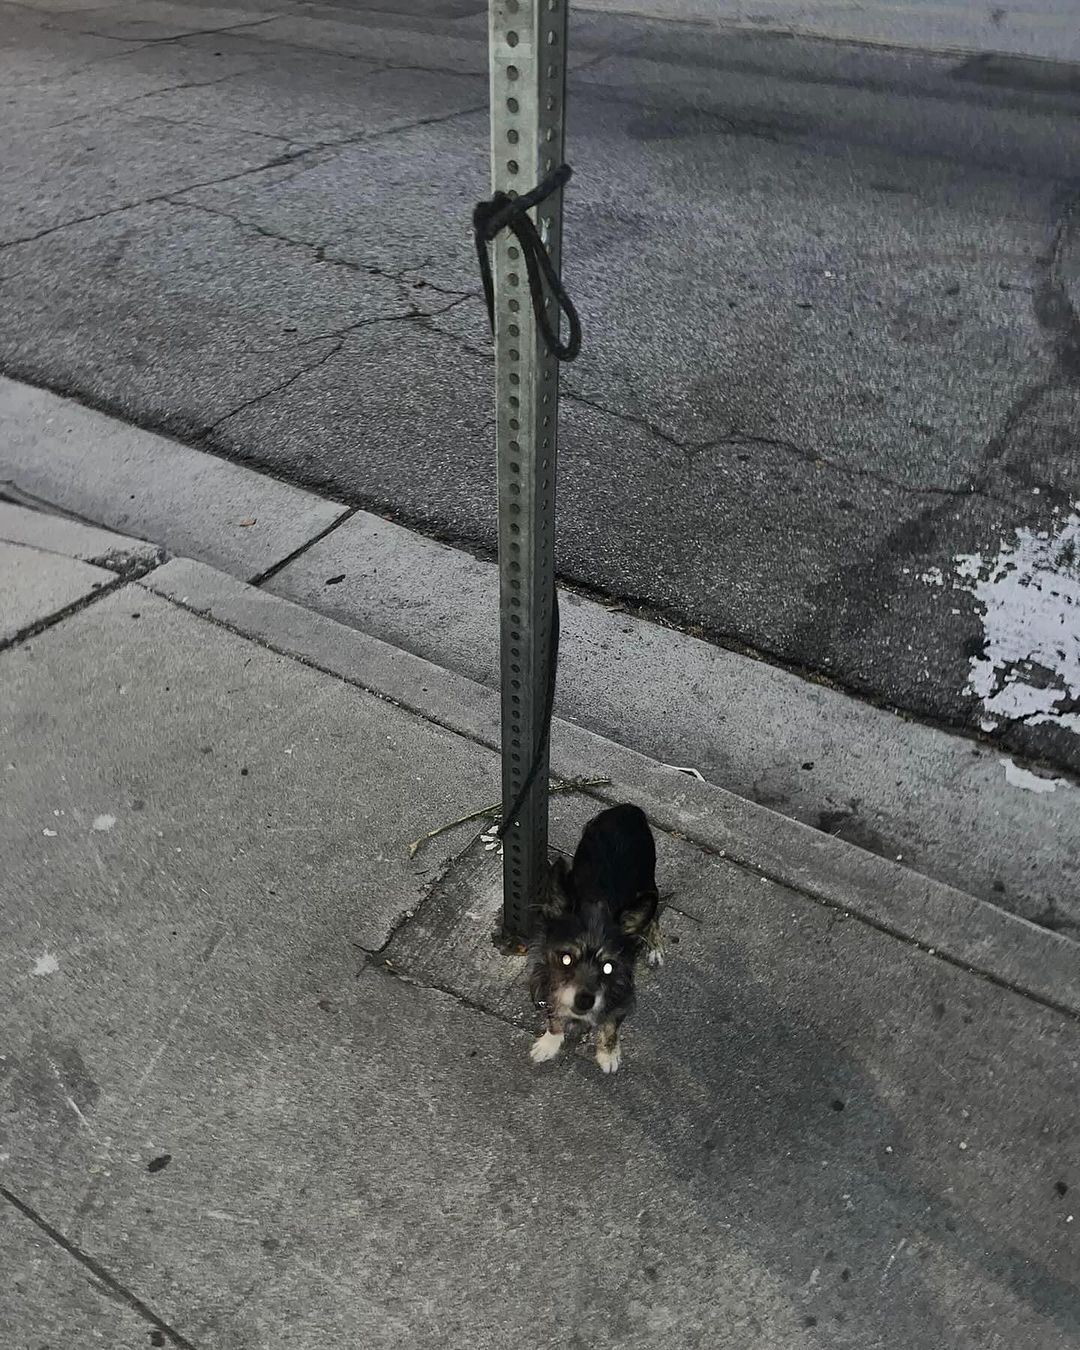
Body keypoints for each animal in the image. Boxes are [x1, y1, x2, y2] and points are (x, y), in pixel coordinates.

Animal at [526, 799, 658, 1074]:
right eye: (565, 959)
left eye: (608, 967)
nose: (585, 1001)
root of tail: (628, 808)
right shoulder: (548, 980)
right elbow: (555, 1016)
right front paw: (550, 1042)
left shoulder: (621, 994)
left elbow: (609, 1026)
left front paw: (607, 1053)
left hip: (649, 885)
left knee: (654, 918)